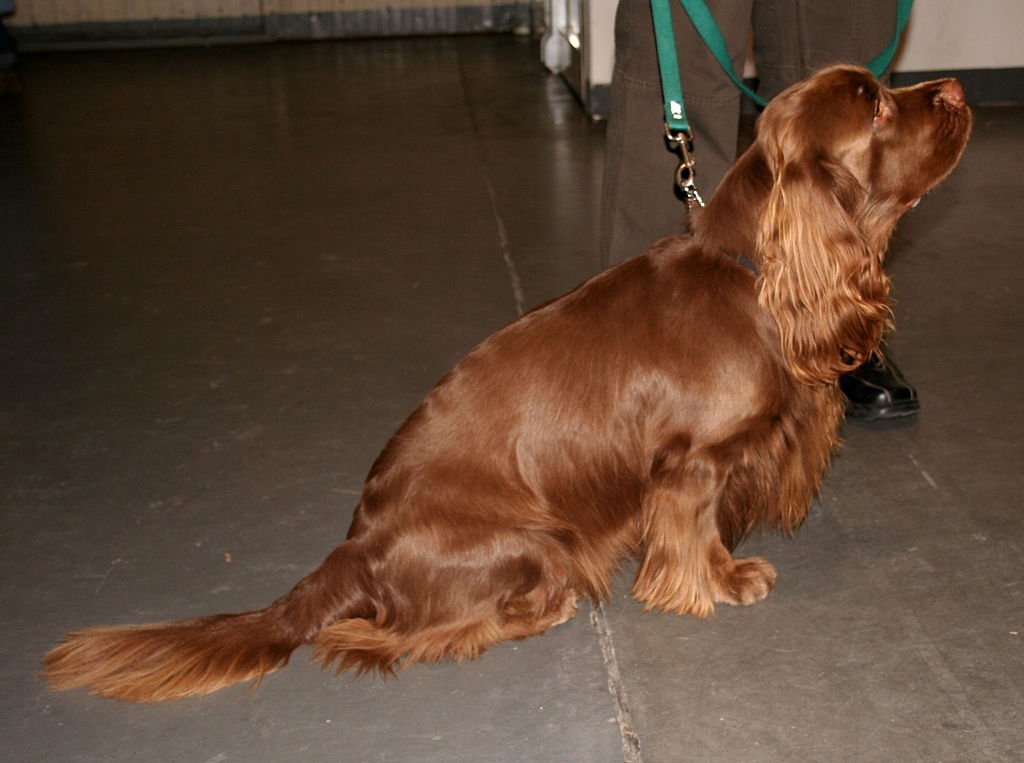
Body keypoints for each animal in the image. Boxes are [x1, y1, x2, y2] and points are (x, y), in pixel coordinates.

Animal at [44, 68, 970, 700]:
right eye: (877, 106)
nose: (957, 87)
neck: (755, 273)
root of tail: (356, 546)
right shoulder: (691, 464)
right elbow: (693, 531)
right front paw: (720, 580)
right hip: (539, 538)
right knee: (384, 639)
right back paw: (538, 610)